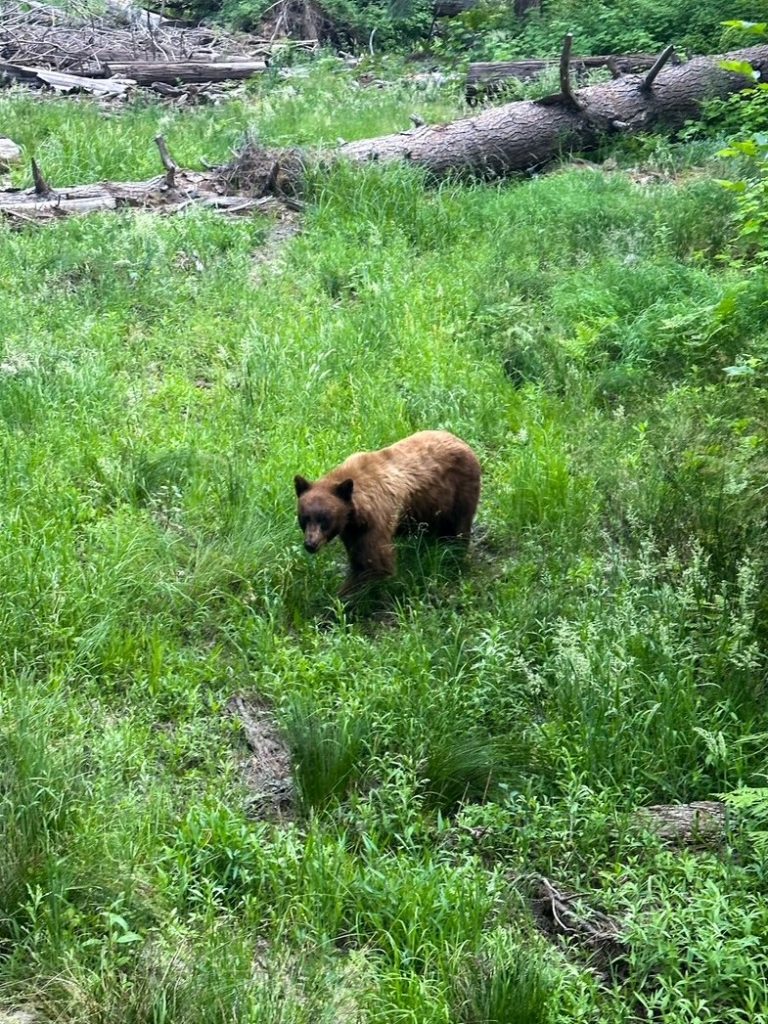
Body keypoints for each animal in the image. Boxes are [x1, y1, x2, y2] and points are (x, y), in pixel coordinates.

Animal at [294, 430, 481, 598]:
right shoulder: (352, 530)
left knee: (458, 529)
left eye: (324, 520)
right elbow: (359, 558)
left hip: (459, 493)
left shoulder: (375, 519)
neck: (355, 512)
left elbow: (374, 564)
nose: (310, 544)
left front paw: (342, 599)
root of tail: (462, 441)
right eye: (304, 518)